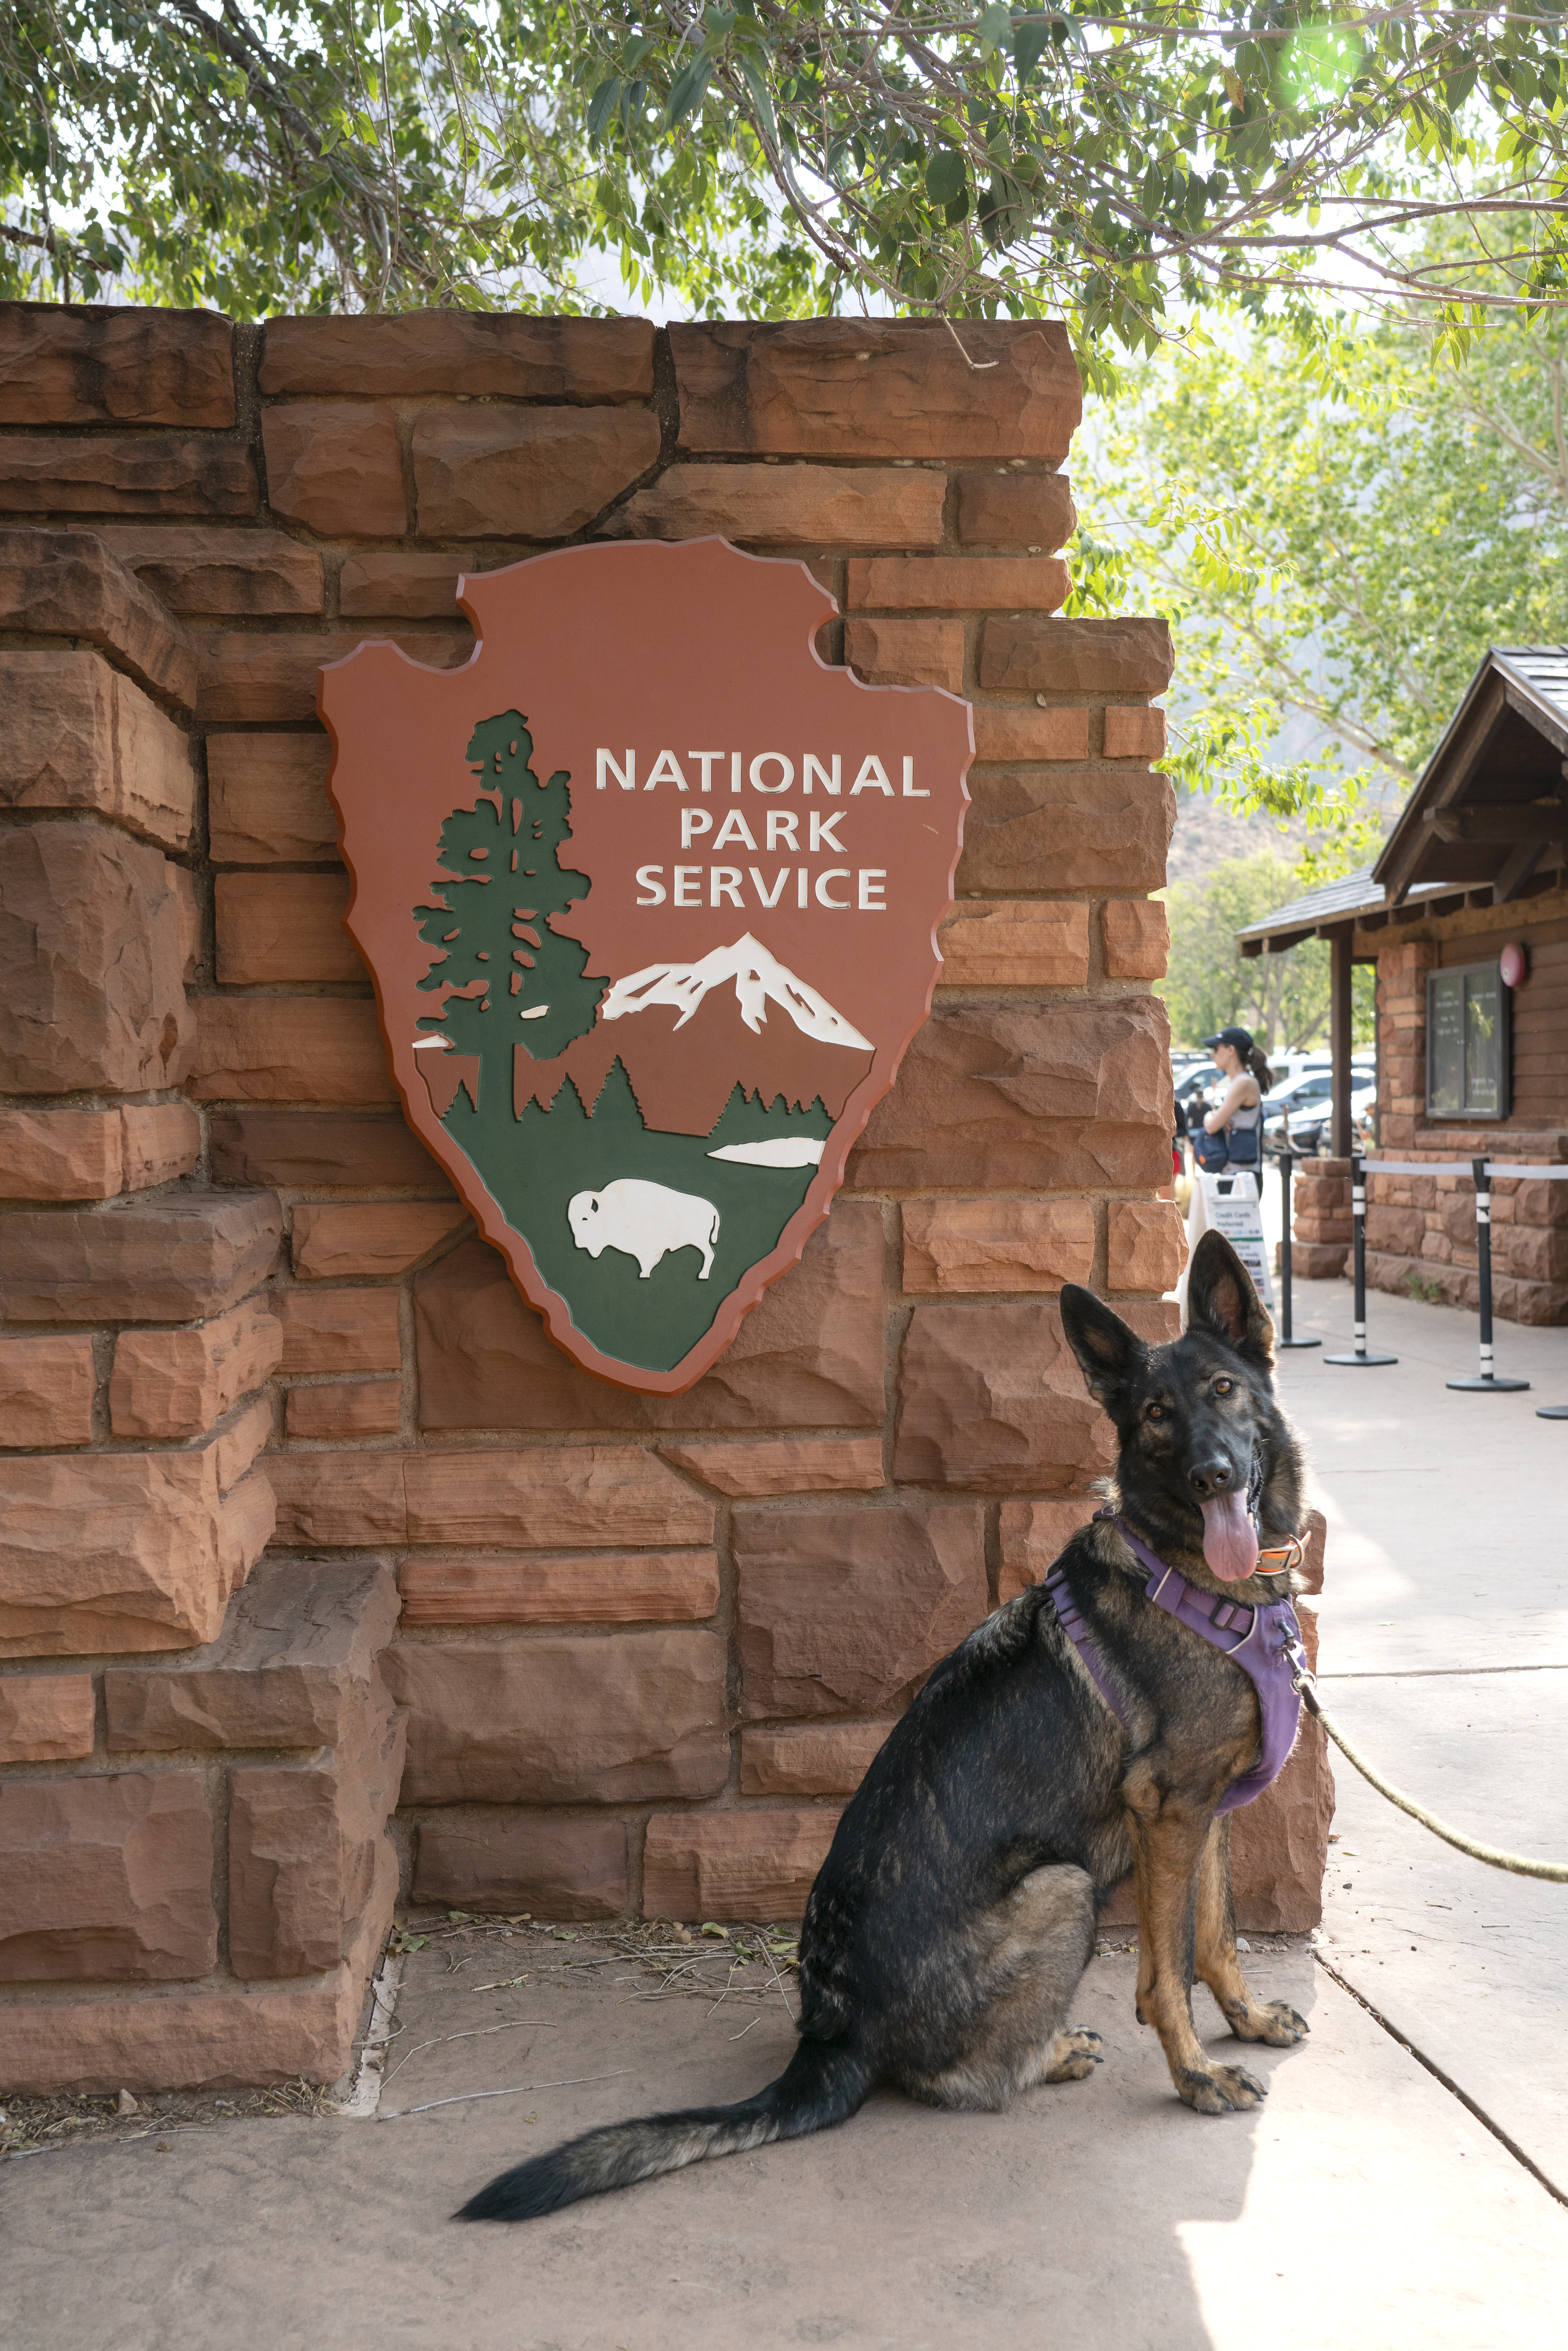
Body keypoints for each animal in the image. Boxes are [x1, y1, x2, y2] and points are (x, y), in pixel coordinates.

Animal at [456, 1232, 1316, 2219]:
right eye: (1153, 1414)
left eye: (1223, 1389)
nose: (1213, 1474)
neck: (1197, 1572)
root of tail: (835, 2030)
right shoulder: (1167, 1807)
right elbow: (1165, 1972)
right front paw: (1195, 2073)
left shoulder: (1205, 1809)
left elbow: (1213, 1936)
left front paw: (1245, 2020)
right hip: (1062, 1886)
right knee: (958, 2081)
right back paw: (1045, 2052)